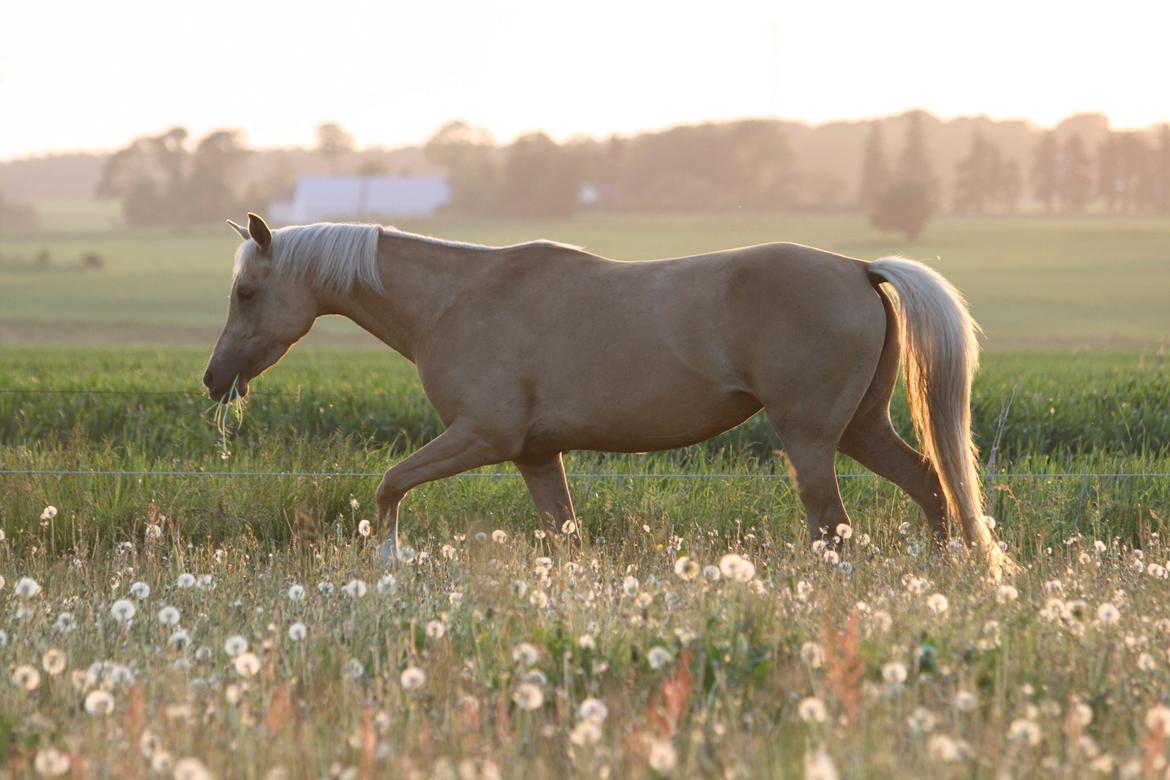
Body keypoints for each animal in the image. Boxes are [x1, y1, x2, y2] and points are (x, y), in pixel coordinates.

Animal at [205, 210, 1010, 577]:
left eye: (247, 292)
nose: (214, 380)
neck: (456, 299)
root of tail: (856, 268)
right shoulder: (534, 456)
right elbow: (565, 535)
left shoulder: (482, 436)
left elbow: (388, 485)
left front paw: (388, 564)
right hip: (860, 430)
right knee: (933, 488)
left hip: (811, 441)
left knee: (833, 528)